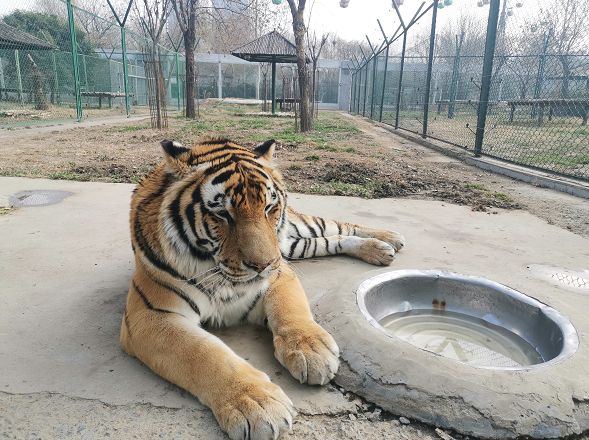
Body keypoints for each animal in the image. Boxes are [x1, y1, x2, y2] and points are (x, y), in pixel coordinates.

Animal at [119, 138, 404, 440]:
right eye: (222, 214)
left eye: (269, 208)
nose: (263, 264)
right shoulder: (151, 315)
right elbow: (204, 354)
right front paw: (258, 405)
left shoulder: (281, 273)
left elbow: (290, 310)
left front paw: (313, 352)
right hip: (295, 245)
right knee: (331, 239)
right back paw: (381, 249)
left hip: (296, 233)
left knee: (340, 225)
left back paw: (389, 238)